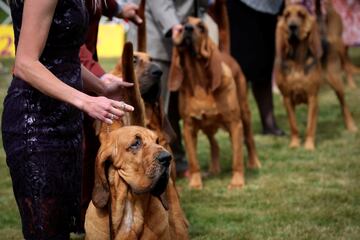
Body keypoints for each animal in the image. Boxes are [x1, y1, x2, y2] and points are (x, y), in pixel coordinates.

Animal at [170, 16, 260, 189]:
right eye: (183, 23)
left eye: (201, 27)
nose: (188, 28)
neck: (199, 81)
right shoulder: (188, 127)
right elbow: (193, 161)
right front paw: (195, 183)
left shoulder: (234, 123)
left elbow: (237, 157)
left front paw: (237, 182)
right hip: (207, 125)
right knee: (215, 143)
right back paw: (214, 168)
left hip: (244, 114)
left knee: (249, 139)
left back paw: (254, 163)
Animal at [276, 2, 358, 150]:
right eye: (286, 15)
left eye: (301, 15)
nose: (292, 26)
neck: (297, 59)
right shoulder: (287, 98)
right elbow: (293, 125)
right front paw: (294, 144)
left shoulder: (312, 97)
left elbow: (310, 125)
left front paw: (309, 146)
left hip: (336, 81)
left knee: (344, 105)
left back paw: (351, 126)